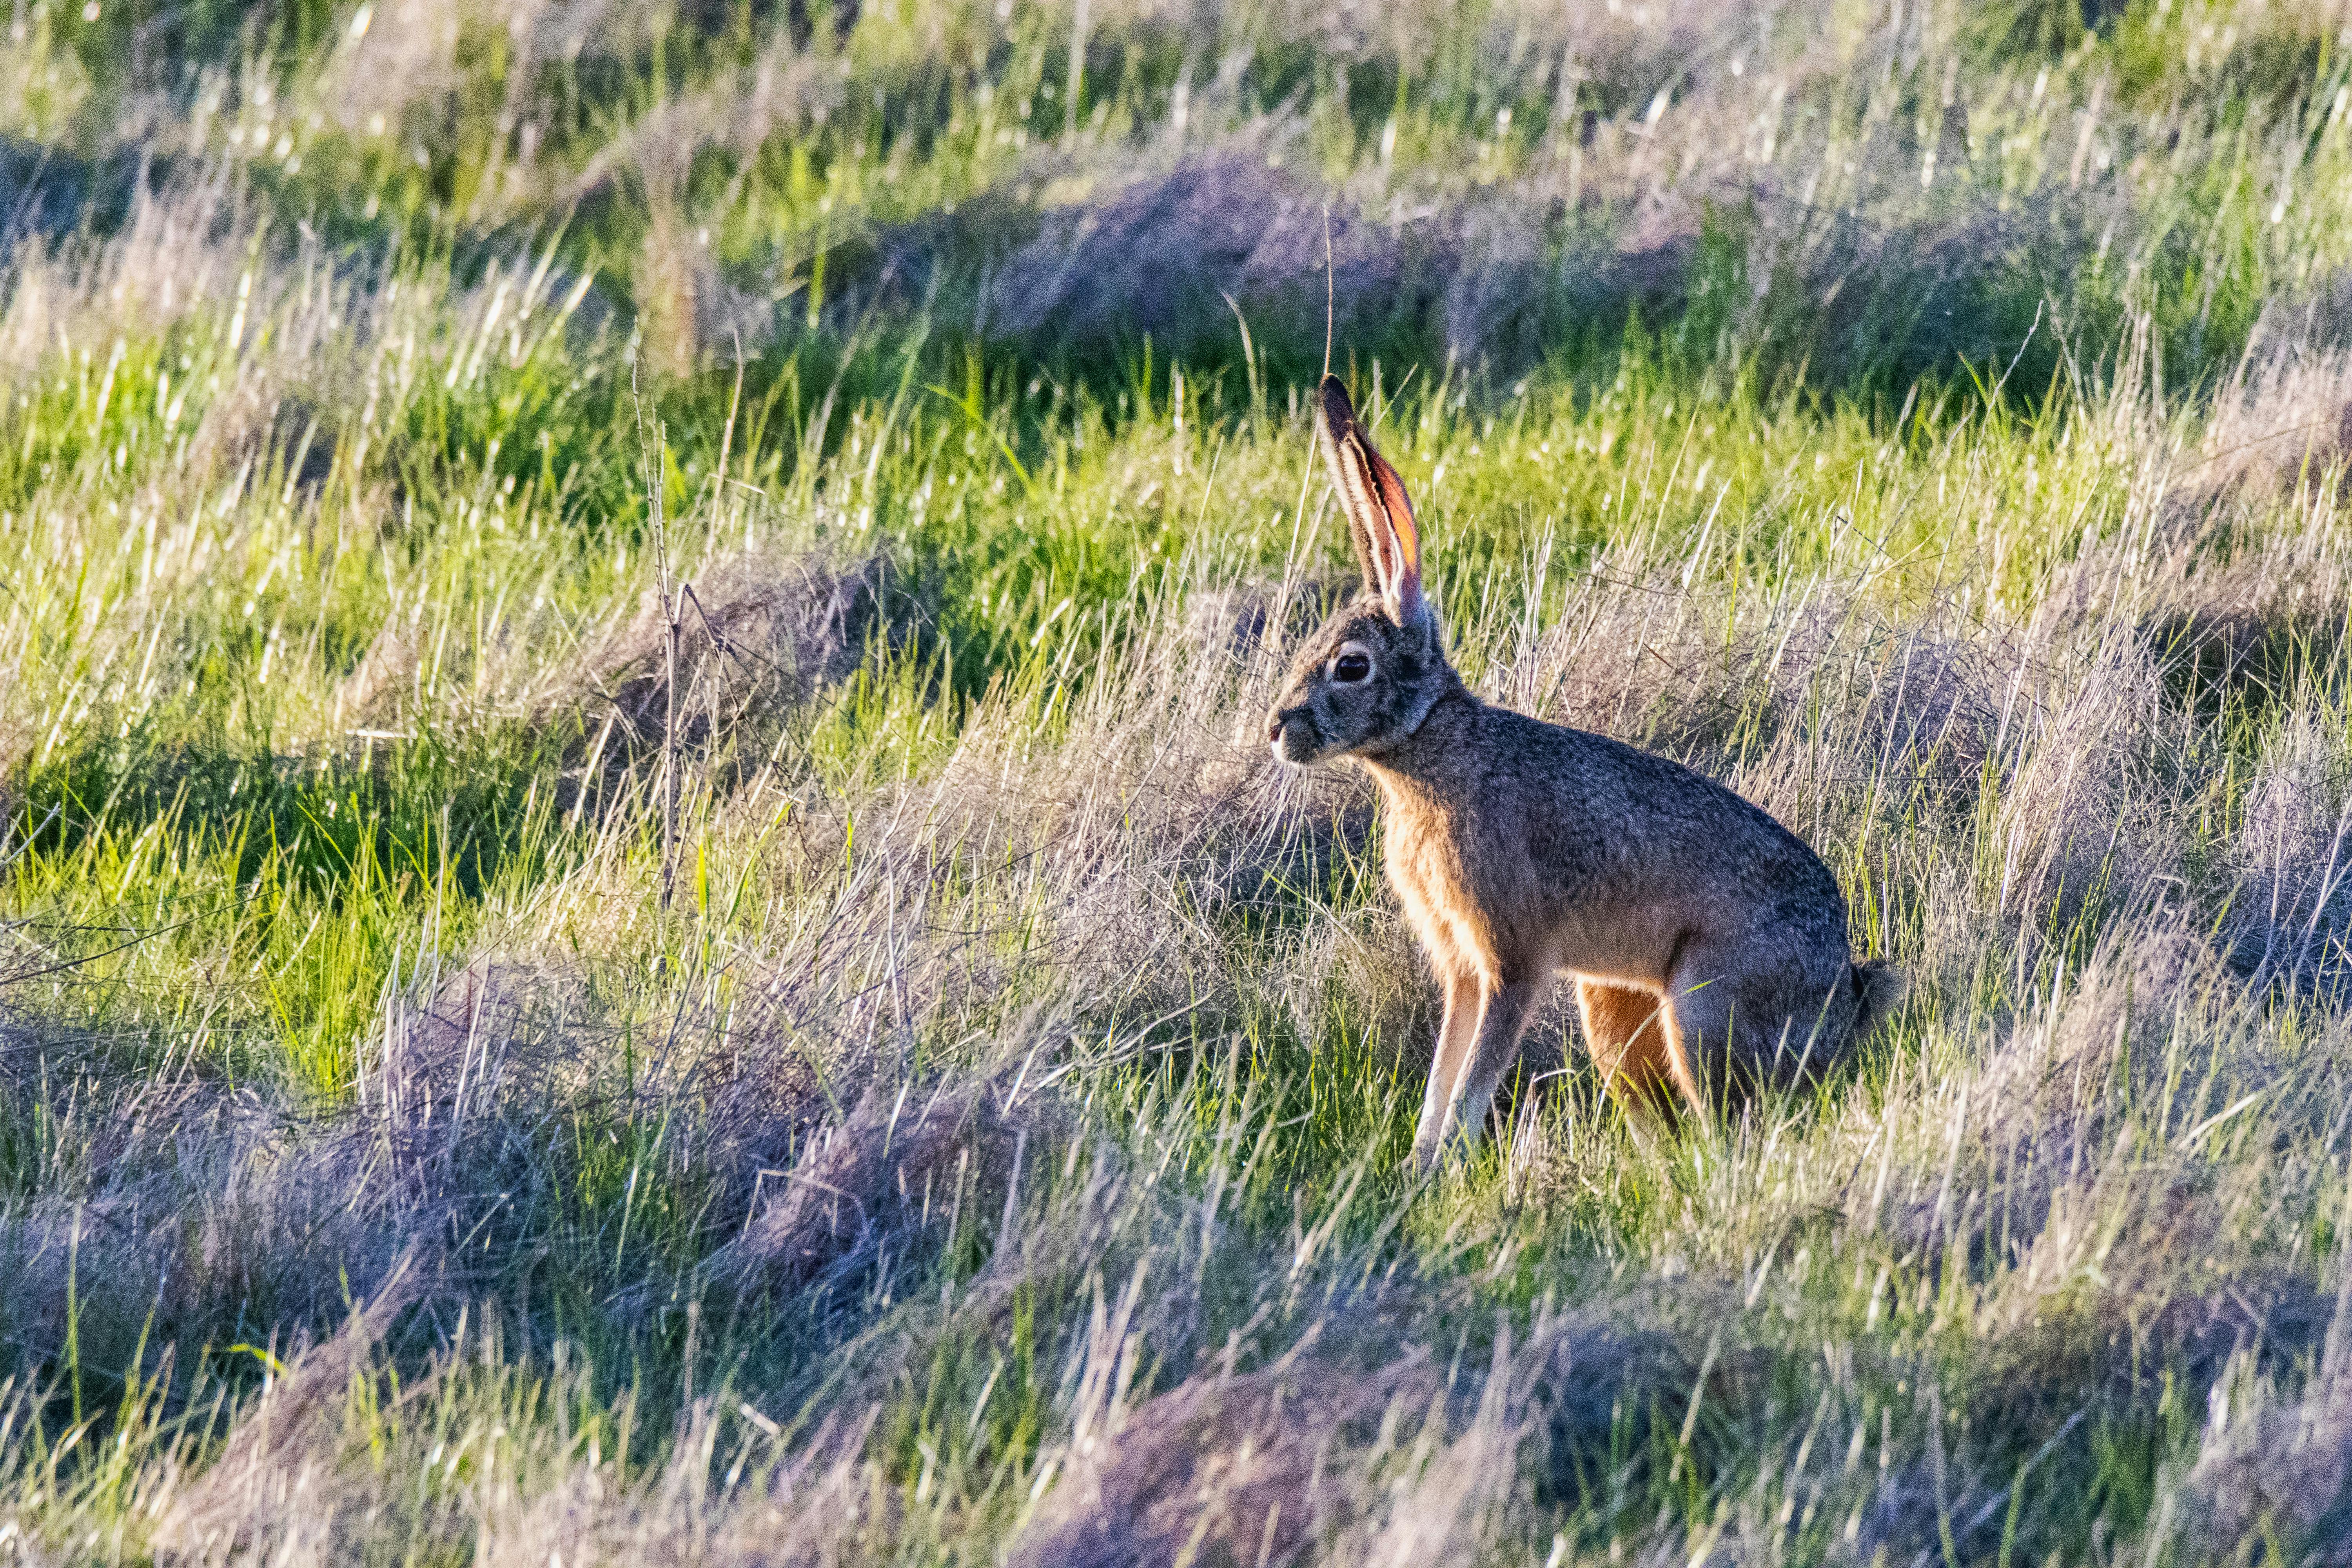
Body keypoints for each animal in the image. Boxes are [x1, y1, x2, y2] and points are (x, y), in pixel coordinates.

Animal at [1265, 375, 1898, 1169]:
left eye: (1351, 667)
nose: (1277, 729)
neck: (1432, 752)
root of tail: (1843, 1002)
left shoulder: (1511, 958)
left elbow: (1473, 1079)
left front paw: (1441, 1170)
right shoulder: (1463, 967)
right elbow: (1443, 1074)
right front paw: (1420, 1163)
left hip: (1703, 1008)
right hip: (1612, 1008)